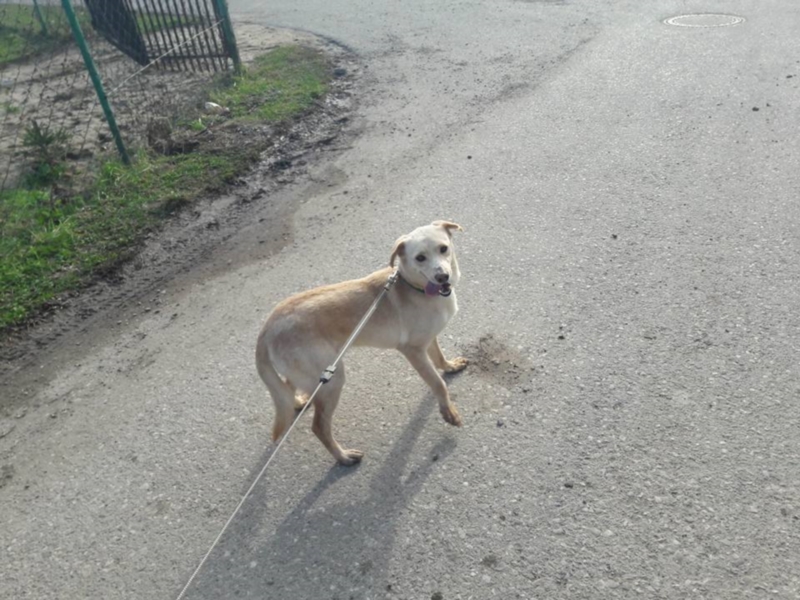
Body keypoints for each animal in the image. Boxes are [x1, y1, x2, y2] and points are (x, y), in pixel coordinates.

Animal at [255, 220, 468, 465]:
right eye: (420, 258)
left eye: (443, 249)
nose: (443, 276)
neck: (413, 287)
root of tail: (267, 327)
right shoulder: (413, 351)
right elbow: (437, 383)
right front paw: (448, 412)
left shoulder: (428, 339)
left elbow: (439, 358)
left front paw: (450, 366)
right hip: (333, 378)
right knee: (319, 427)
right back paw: (343, 457)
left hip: (310, 375)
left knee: (286, 389)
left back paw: (298, 401)